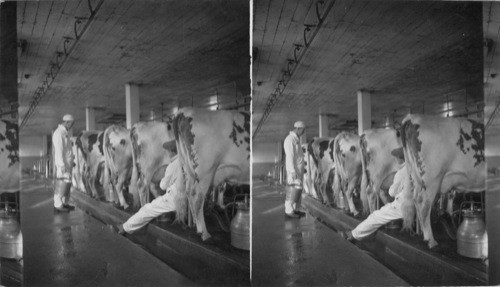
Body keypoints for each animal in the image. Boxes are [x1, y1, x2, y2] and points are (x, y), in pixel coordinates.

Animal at [172, 109, 250, 242]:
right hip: (206, 170)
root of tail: (184, 111)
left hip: (189, 169)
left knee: (189, 192)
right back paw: (204, 233)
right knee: (197, 196)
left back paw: (197, 225)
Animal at [400, 115, 486, 250]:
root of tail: (413, 117)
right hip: (432, 178)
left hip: (416, 176)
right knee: (424, 205)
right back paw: (430, 240)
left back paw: (423, 233)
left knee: (416, 200)